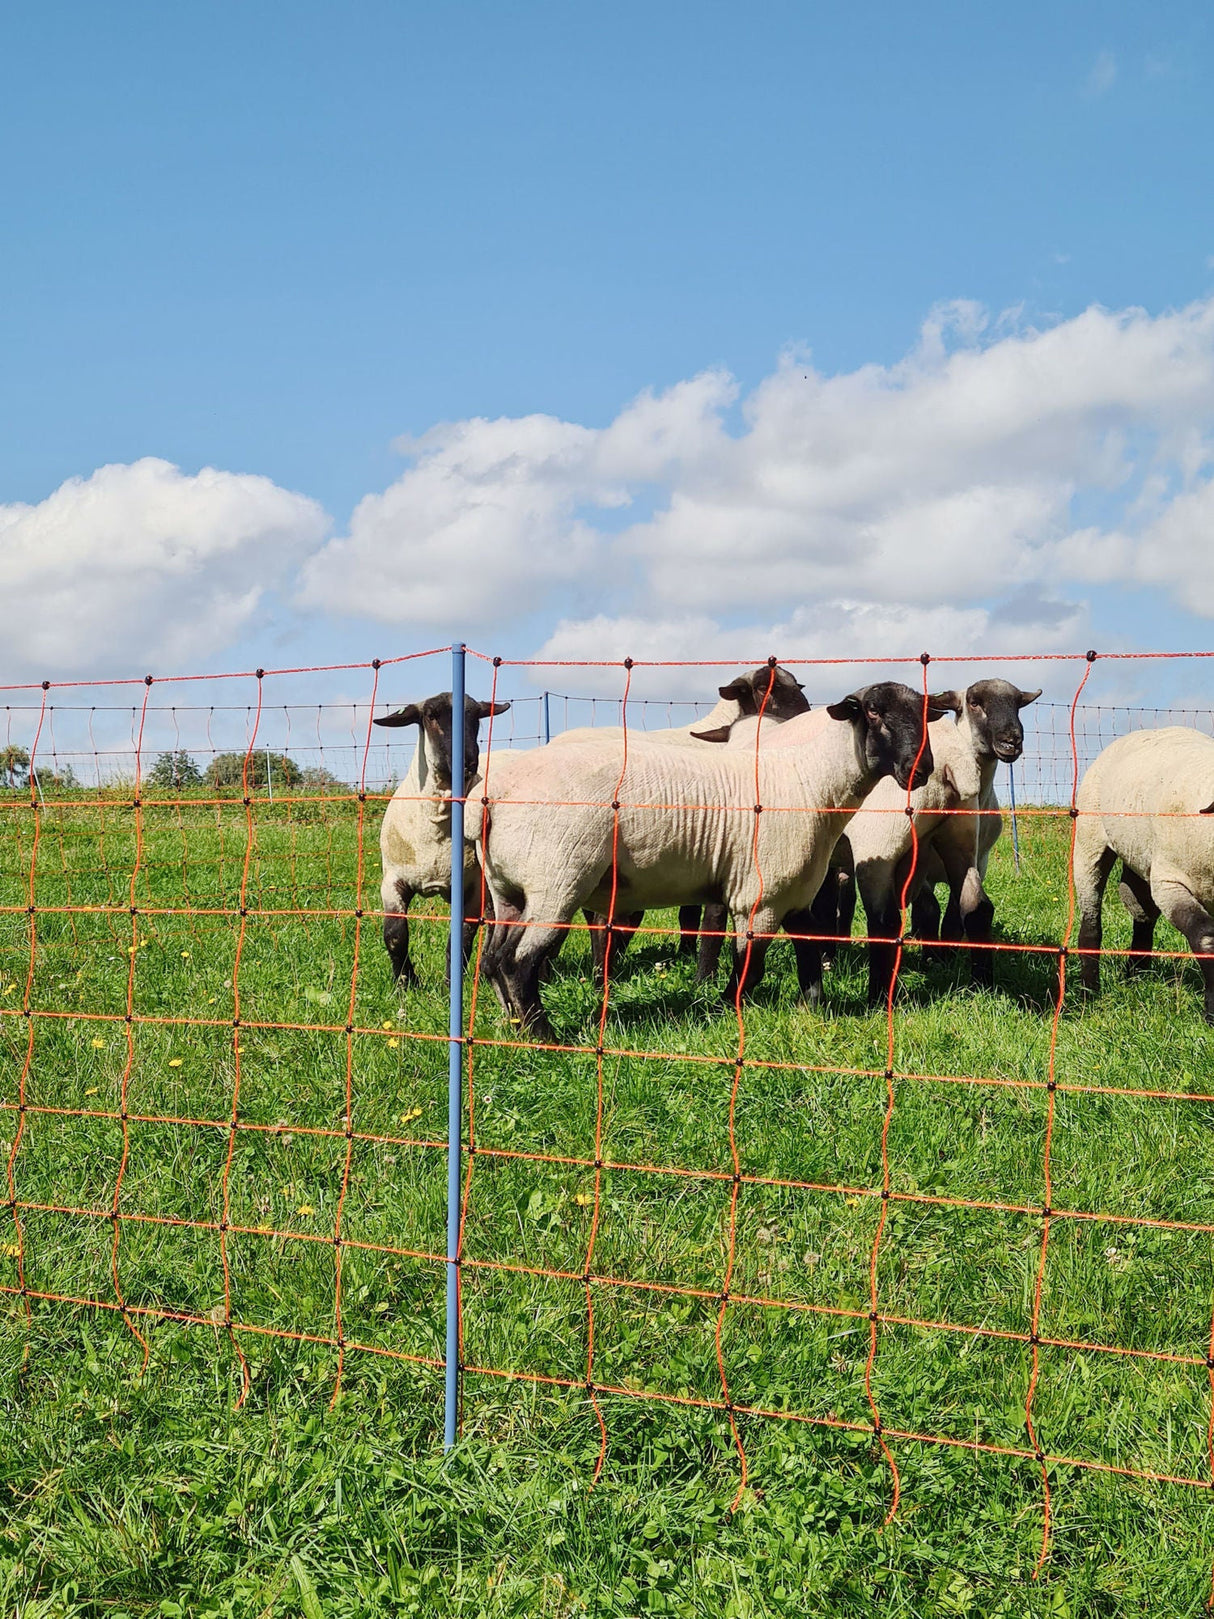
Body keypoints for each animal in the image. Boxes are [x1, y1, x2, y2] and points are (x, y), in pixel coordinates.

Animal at [380, 686, 514, 977]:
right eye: (431, 715)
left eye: (476, 716)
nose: (468, 762)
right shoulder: (392, 880)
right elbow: (395, 935)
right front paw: (405, 981)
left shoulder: (471, 887)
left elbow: (461, 939)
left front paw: (449, 982)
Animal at [479, 683, 938, 1036]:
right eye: (874, 712)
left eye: (924, 715)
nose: (922, 770)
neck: (811, 783)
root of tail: (495, 795)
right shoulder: (758, 898)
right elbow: (749, 969)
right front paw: (720, 1007)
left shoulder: (792, 894)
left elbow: (809, 957)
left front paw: (812, 1013)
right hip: (557, 880)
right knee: (518, 961)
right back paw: (544, 1035)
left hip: (510, 889)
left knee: (493, 958)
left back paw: (511, 1024)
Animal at [1081, 728, 1214, 1016]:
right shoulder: (1169, 882)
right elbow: (1206, 938)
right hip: (1090, 838)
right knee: (1091, 916)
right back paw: (1089, 990)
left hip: (1139, 857)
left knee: (1141, 912)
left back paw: (1135, 976)